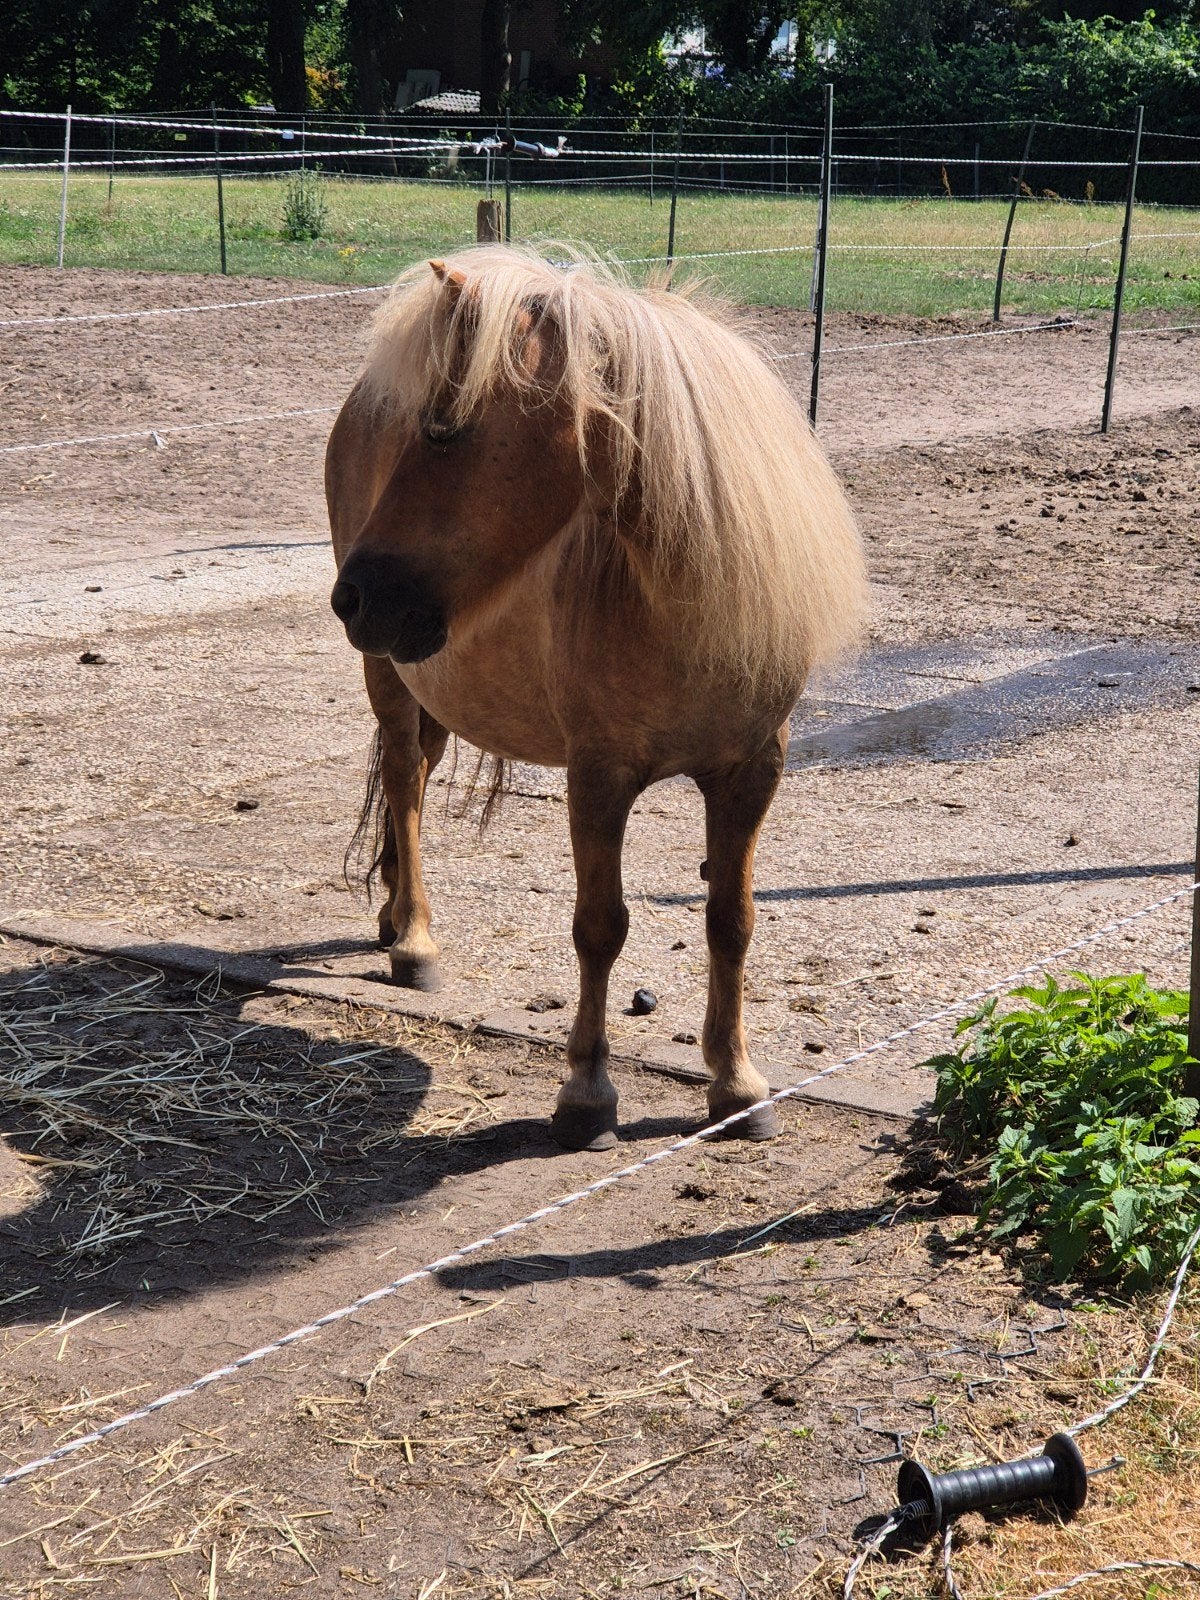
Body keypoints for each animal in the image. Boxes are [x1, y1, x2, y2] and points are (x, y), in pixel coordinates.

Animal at [326, 247, 866, 1151]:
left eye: (444, 429)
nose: (353, 597)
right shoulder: (598, 776)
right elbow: (600, 926)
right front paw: (586, 1093)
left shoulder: (753, 771)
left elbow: (732, 919)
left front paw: (736, 1083)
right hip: (390, 675)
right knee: (403, 782)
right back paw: (415, 944)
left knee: (418, 782)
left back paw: (394, 916)